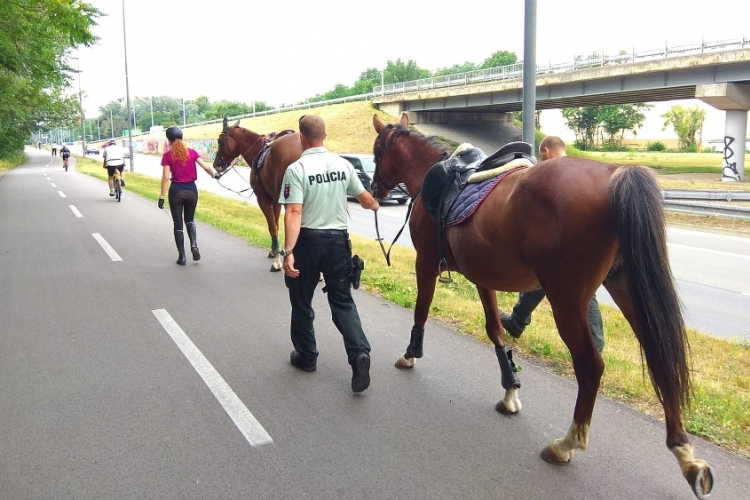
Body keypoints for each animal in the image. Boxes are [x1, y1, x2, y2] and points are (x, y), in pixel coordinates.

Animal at [212, 115, 302, 272]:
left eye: (220, 141)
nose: (216, 164)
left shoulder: (263, 200)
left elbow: (272, 227)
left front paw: (277, 259)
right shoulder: (275, 201)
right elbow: (276, 224)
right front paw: (274, 251)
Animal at [374, 114, 712, 500]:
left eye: (377, 150)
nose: (376, 189)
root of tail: (615, 172)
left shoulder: (427, 263)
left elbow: (422, 309)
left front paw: (410, 354)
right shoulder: (483, 276)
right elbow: (495, 330)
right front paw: (509, 388)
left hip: (567, 297)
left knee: (591, 366)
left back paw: (567, 443)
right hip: (626, 288)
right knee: (660, 358)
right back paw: (685, 454)